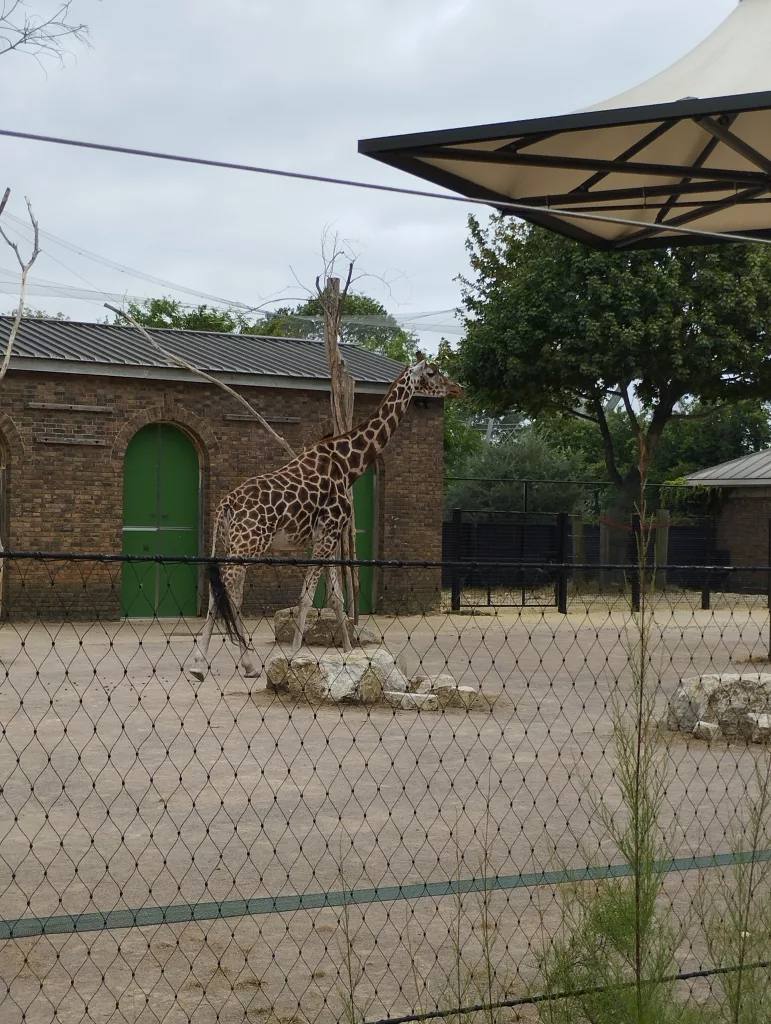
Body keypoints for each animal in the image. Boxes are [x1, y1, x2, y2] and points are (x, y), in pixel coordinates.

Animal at [188, 359, 464, 680]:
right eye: (432, 372)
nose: (457, 388)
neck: (348, 464)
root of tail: (226, 504)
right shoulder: (329, 531)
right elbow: (307, 597)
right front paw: (295, 655)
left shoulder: (329, 536)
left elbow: (335, 598)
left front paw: (348, 652)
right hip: (248, 544)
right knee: (225, 592)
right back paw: (208, 664)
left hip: (230, 544)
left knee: (222, 592)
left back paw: (236, 664)